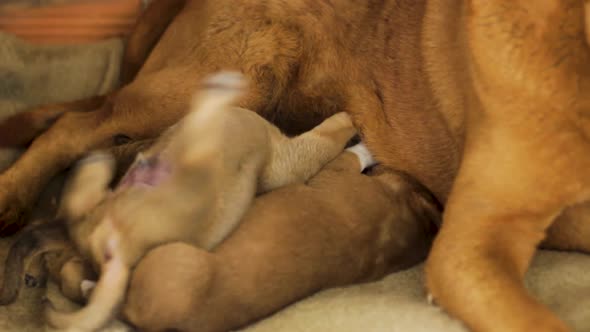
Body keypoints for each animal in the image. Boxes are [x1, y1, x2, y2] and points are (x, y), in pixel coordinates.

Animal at [45, 71, 356, 330]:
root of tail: (118, 254)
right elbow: (328, 138)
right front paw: (348, 120)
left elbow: (325, 140)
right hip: (193, 170)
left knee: (77, 207)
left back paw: (95, 166)